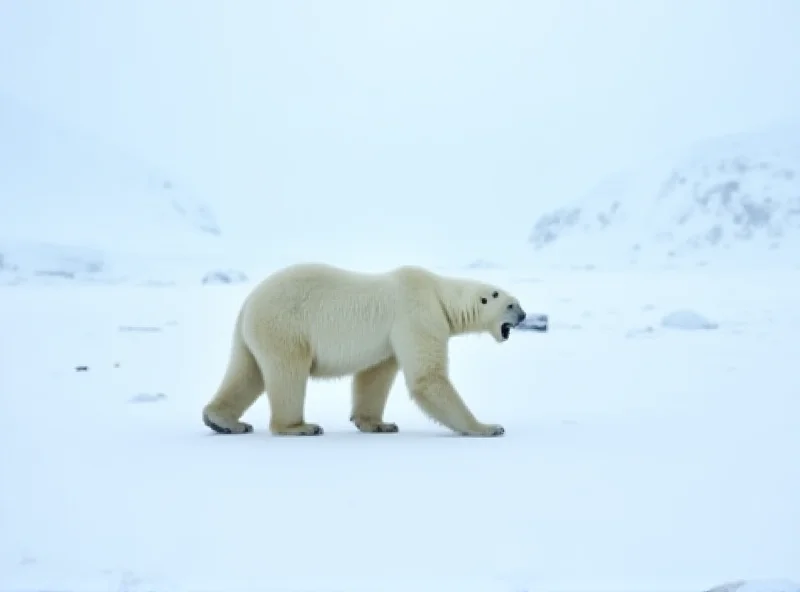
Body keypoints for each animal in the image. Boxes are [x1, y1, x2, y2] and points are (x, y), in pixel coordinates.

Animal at [202, 262, 524, 438]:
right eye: (511, 305)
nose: (523, 316)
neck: (439, 292)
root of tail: (248, 302)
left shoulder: (391, 336)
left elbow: (375, 375)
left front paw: (378, 423)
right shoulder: (418, 313)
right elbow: (427, 378)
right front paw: (488, 427)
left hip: (254, 333)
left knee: (247, 371)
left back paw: (223, 421)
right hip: (285, 325)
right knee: (288, 374)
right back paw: (299, 427)